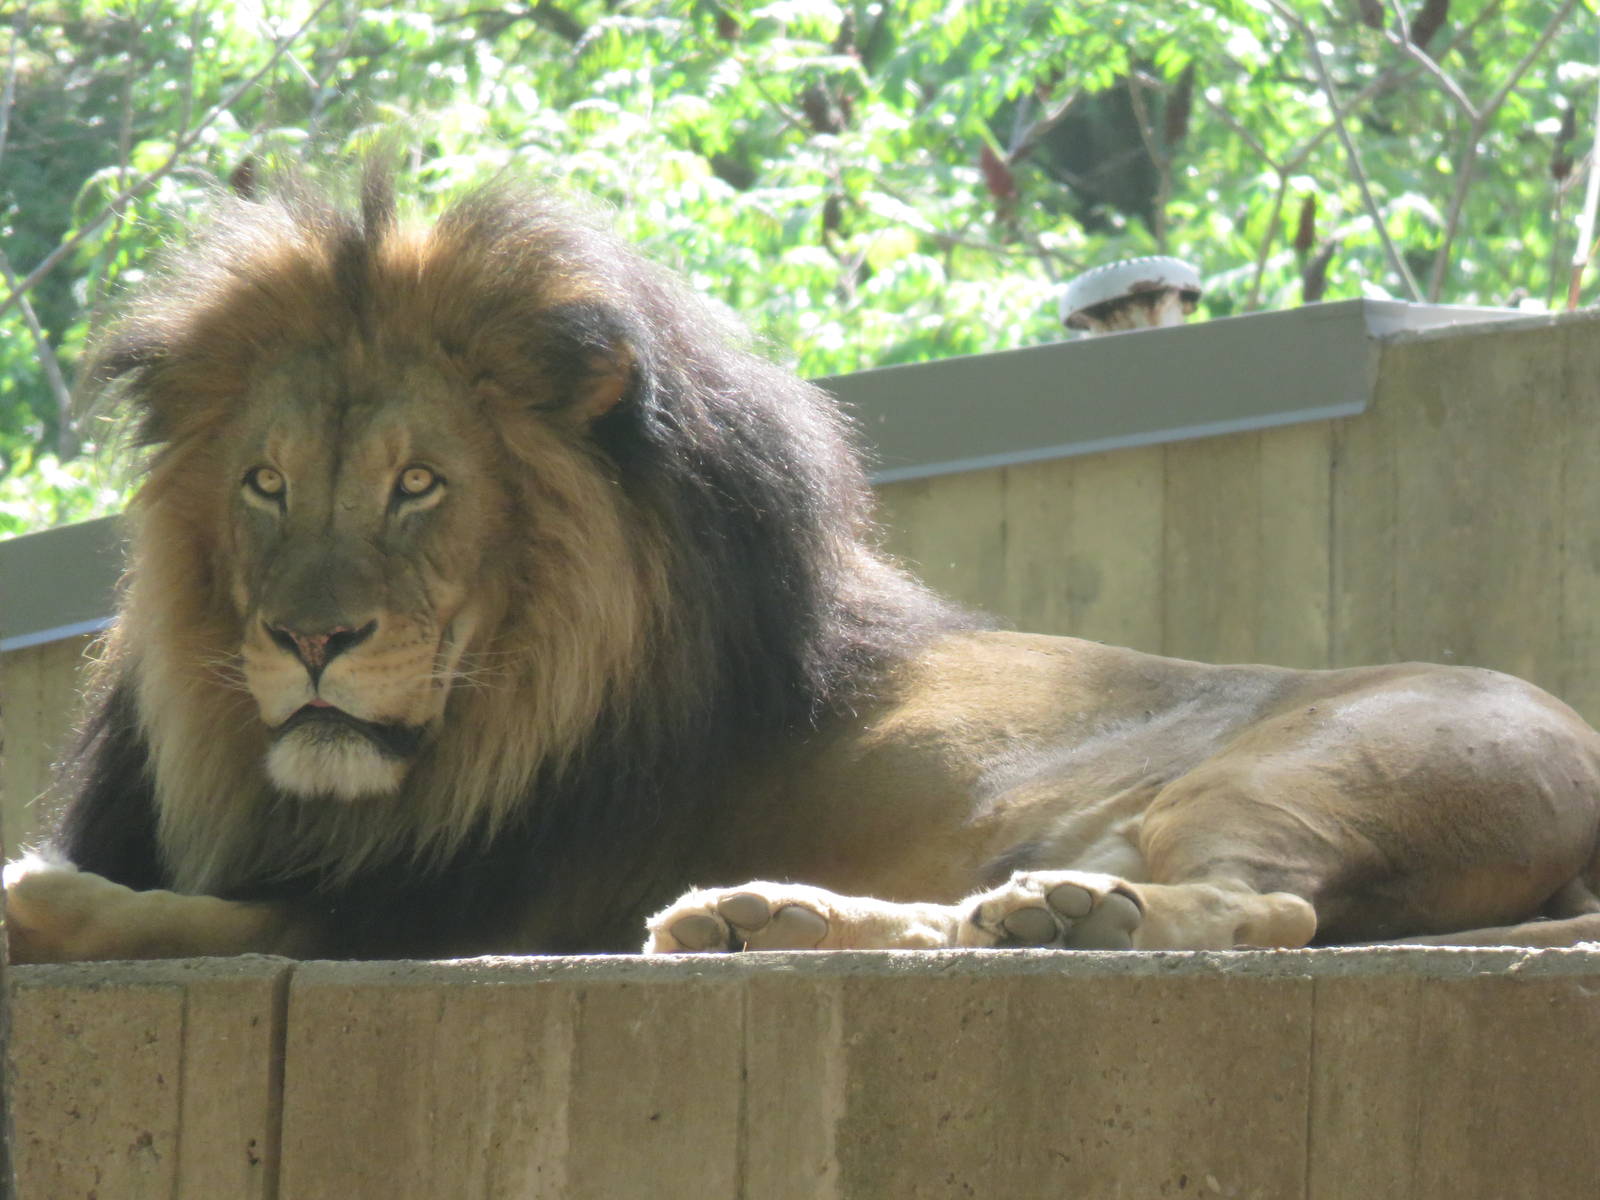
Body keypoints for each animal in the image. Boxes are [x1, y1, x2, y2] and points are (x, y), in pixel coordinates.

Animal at [8, 168, 1600, 963]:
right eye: (266, 485)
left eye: (419, 485)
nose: (310, 646)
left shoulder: (483, 901)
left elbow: (198, 913)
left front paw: (54, 899)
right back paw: (803, 915)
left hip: (1303, 768)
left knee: (1271, 913)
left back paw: (1072, 922)